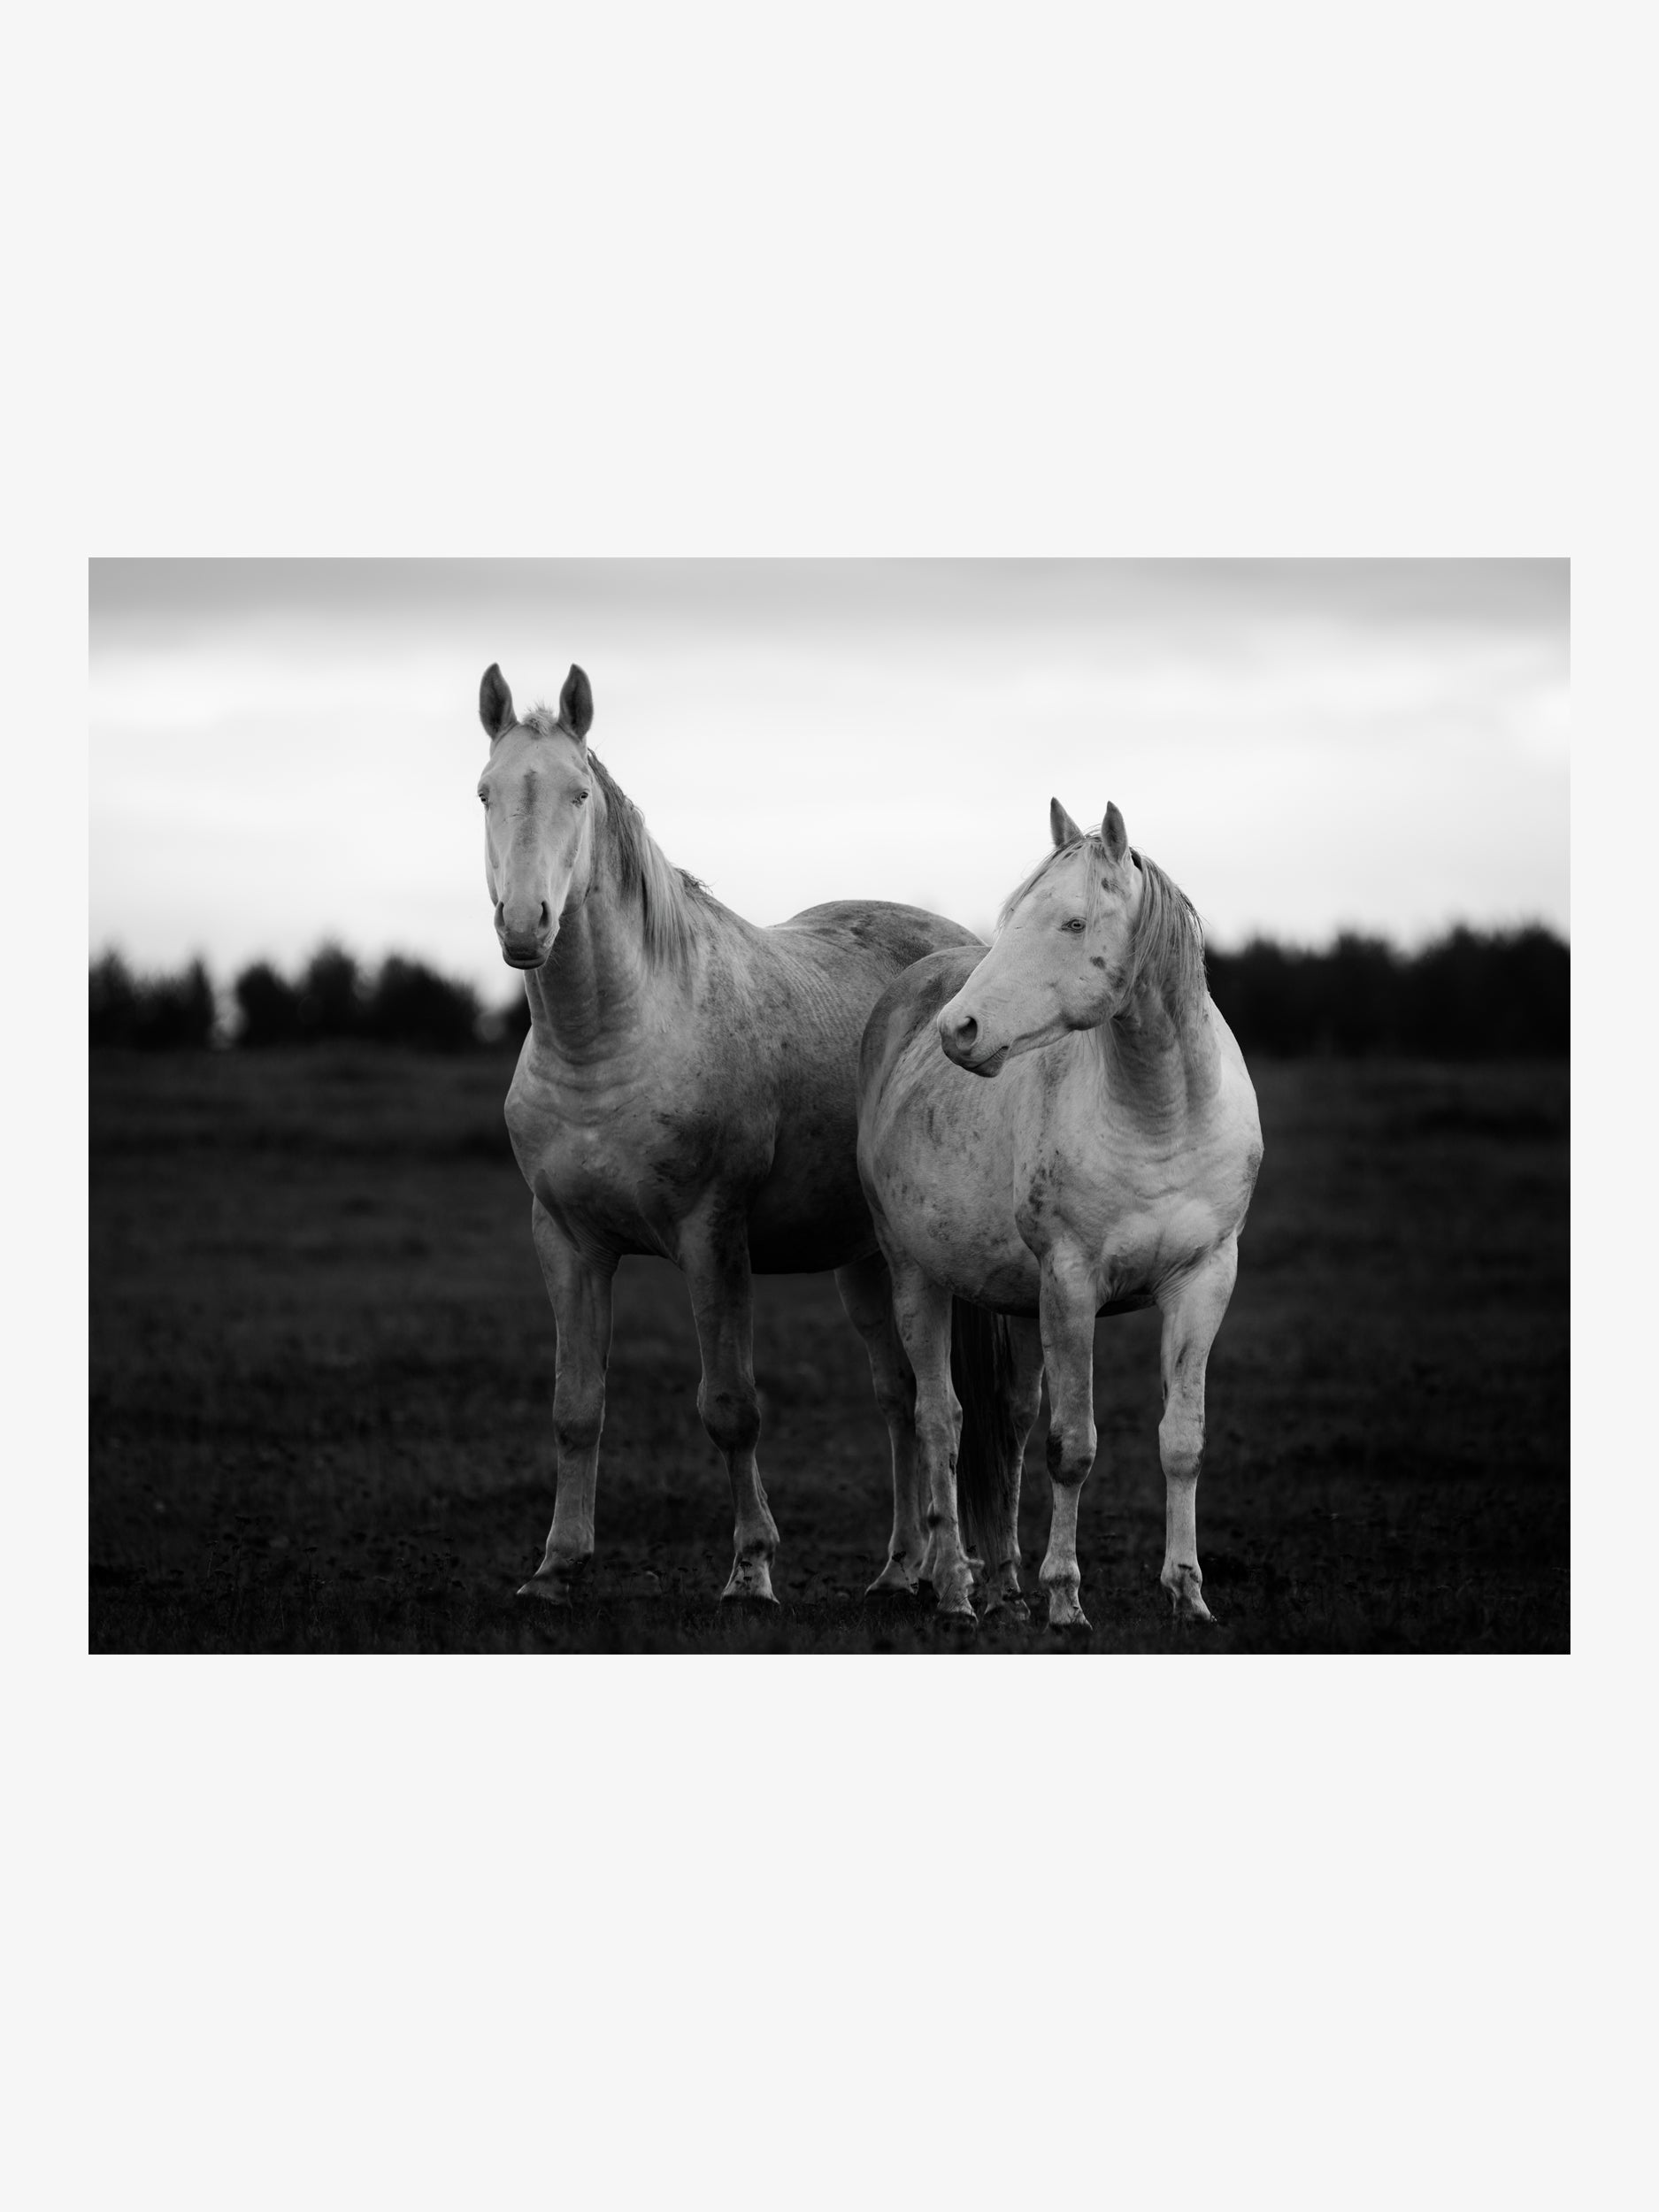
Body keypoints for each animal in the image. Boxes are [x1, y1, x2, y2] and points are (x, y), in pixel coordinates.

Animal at [475, 660, 997, 1606]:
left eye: (578, 793)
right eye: (485, 792)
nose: (525, 926)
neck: (610, 1042)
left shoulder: (711, 1237)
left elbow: (730, 1408)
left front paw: (751, 1570)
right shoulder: (566, 1242)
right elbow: (575, 1409)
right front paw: (556, 1568)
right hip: (866, 1259)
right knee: (897, 1396)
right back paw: (900, 1569)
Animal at [855, 796, 1264, 1629]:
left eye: (1072, 922)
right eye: (1014, 913)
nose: (959, 1031)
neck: (1161, 1114)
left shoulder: (1204, 1280)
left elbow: (1183, 1441)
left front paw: (1188, 1593)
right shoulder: (1072, 1285)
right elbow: (1071, 1447)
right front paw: (1066, 1600)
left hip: (1015, 1300)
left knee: (1007, 1423)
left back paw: (1004, 1585)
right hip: (914, 1276)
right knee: (939, 1420)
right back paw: (954, 1587)